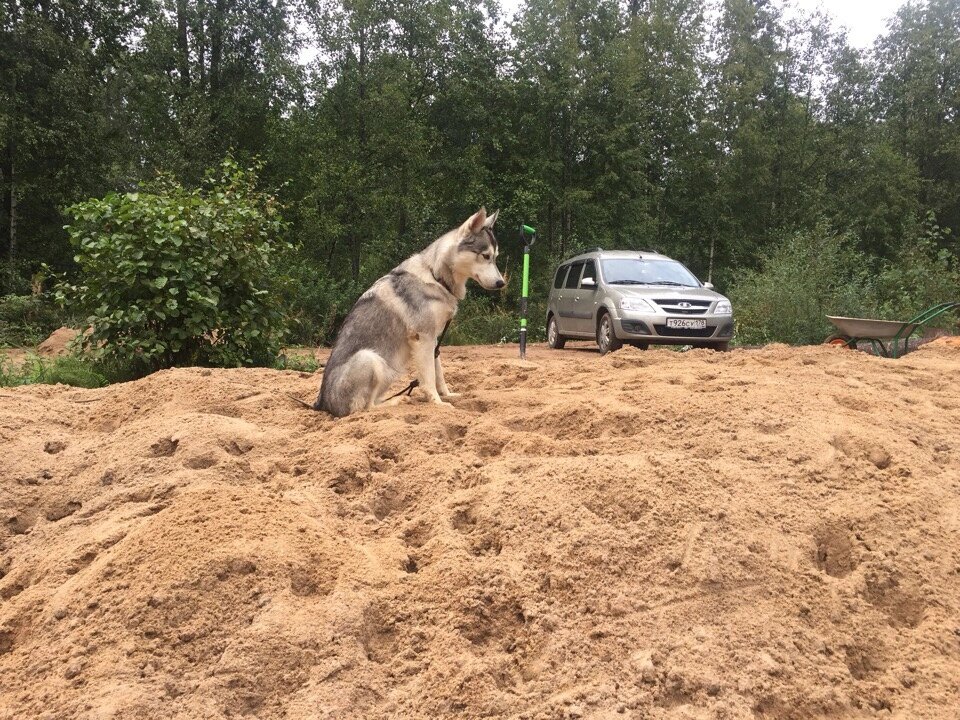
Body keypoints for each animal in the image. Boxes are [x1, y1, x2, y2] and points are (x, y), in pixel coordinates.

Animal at [318, 208, 506, 416]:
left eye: (495, 257)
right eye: (485, 256)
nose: (501, 283)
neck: (436, 276)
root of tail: (322, 404)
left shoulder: (434, 341)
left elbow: (439, 374)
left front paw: (447, 395)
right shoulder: (423, 338)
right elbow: (429, 377)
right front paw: (437, 403)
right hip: (370, 358)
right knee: (366, 408)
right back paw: (396, 401)